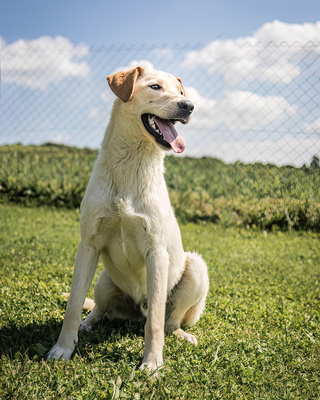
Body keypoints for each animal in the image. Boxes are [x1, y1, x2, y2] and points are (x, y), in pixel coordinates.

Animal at [46, 66, 209, 376]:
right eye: (155, 87)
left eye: (181, 92)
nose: (189, 106)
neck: (131, 163)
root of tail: (135, 312)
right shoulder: (88, 245)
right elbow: (73, 305)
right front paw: (62, 349)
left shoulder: (156, 253)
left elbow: (155, 322)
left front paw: (152, 363)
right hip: (103, 279)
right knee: (97, 310)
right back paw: (86, 325)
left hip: (196, 267)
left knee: (168, 322)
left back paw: (182, 334)